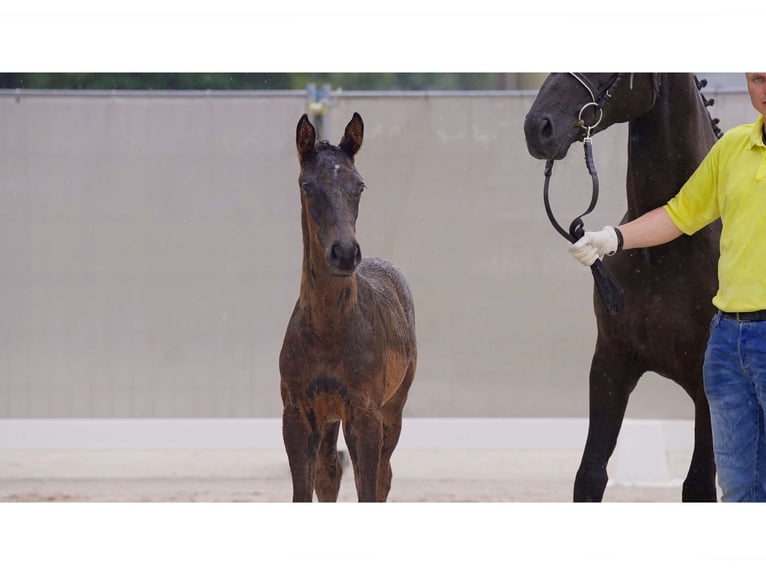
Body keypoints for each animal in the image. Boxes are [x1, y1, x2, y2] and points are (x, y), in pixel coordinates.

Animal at [280, 112, 416, 504]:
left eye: (360, 186)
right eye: (307, 186)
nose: (344, 252)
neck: (329, 330)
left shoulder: (365, 414)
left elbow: (369, 486)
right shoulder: (297, 415)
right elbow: (308, 488)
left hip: (393, 408)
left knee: (383, 476)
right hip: (329, 417)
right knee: (329, 475)